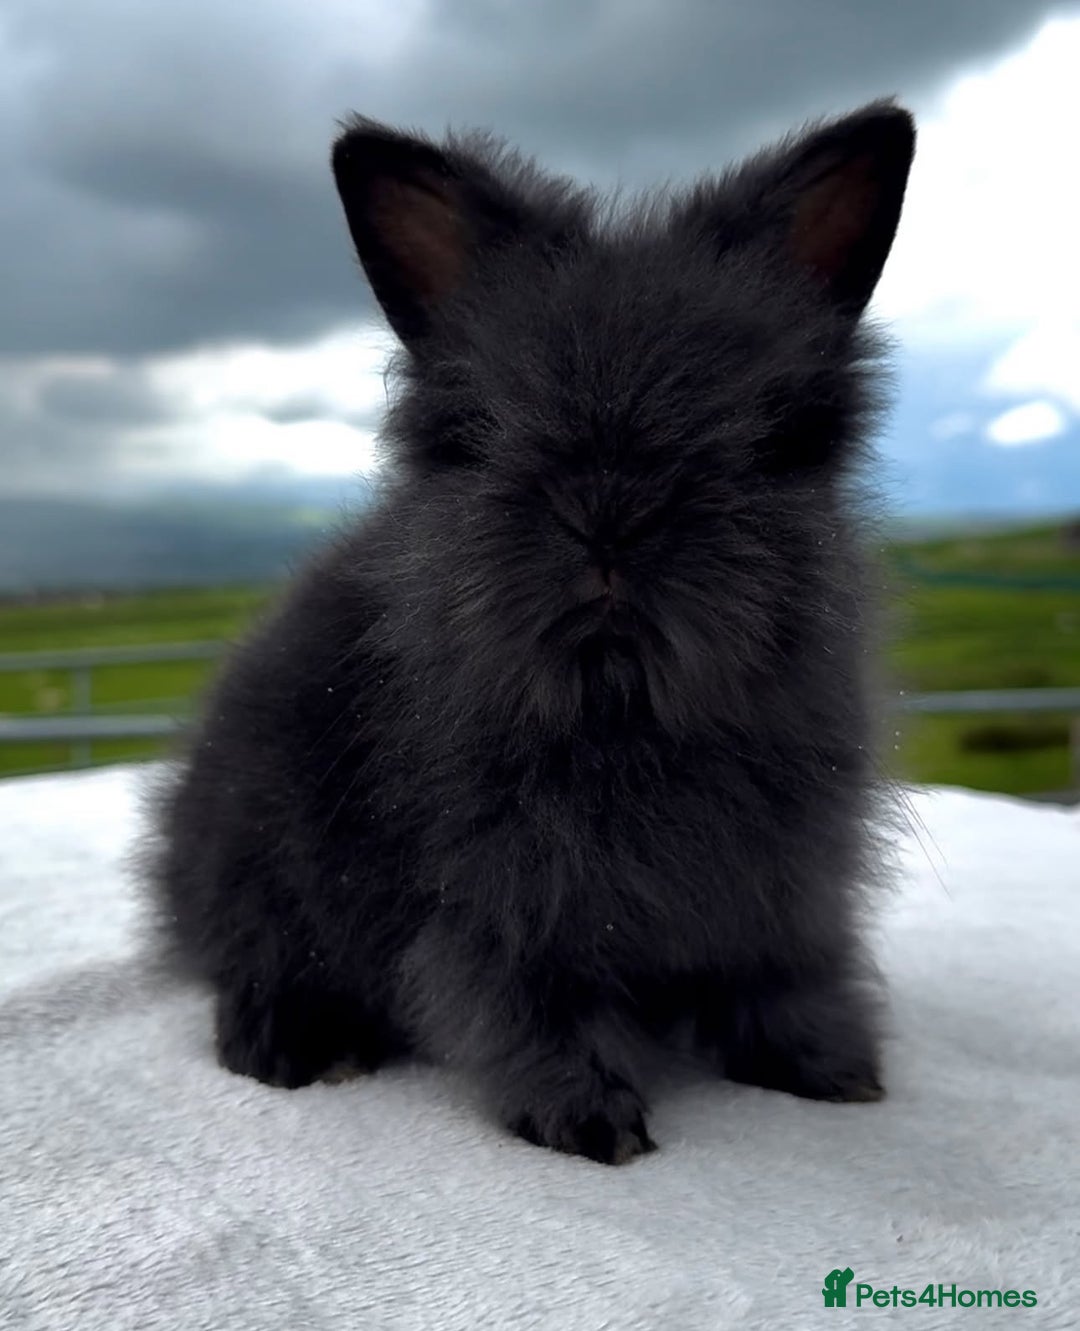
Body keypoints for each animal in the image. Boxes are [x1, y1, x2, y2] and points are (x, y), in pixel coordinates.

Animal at [150, 101, 915, 1165]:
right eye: (484, 426)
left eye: (767, 431)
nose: (609, 513)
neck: (625, 702)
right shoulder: (505, 908)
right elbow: (529, 1005)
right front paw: (591, 1120)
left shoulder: (787, 890)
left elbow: (784, 976)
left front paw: (832, 1071)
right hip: (256, 860)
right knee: (249, 959)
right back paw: (293, 1043)